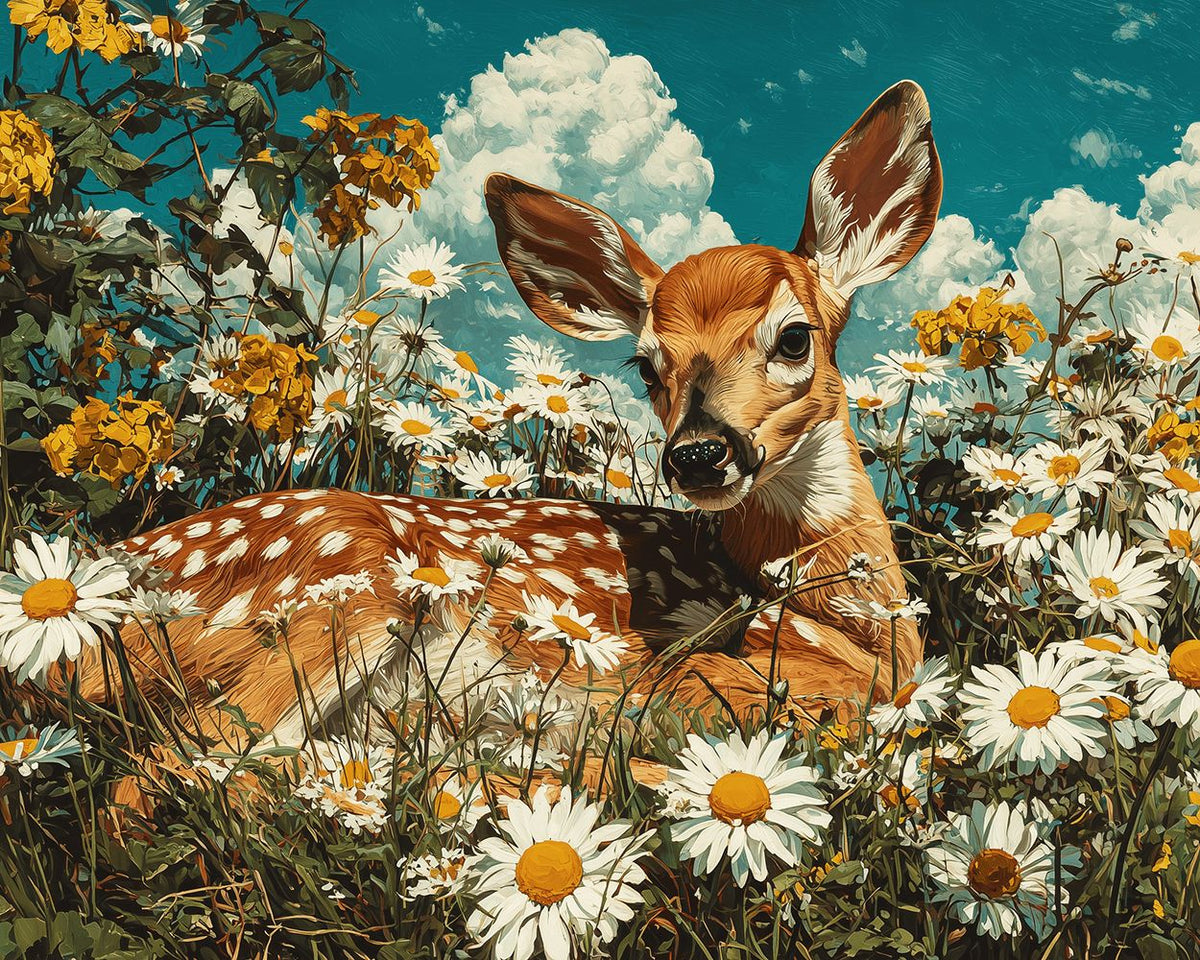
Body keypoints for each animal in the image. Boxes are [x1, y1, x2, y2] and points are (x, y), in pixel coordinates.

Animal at [68, 80, 939, 768]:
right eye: (645, 366)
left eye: (794, 338)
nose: (697, 455)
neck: (865, 634)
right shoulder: (707, 681)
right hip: (331, 586)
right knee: (173, 777)